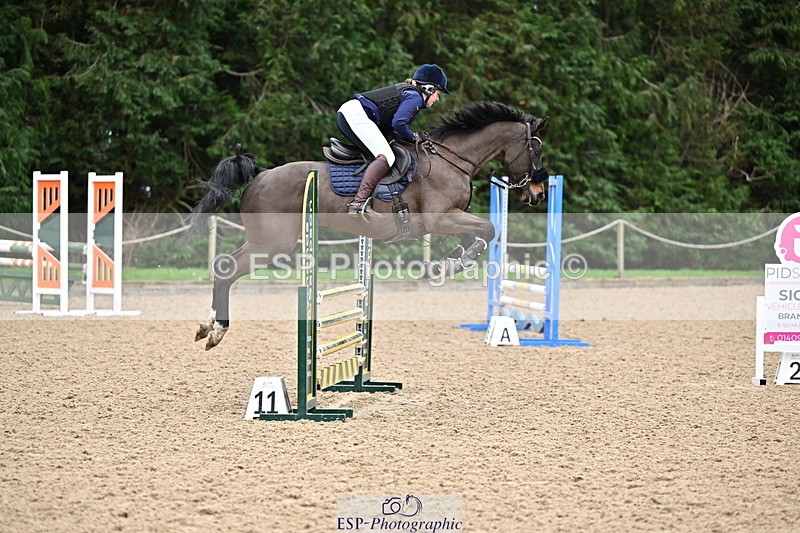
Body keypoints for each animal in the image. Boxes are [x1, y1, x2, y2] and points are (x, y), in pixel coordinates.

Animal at [189, 101, 550, 349]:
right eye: (536, 149)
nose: (538, 193)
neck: (452, 160)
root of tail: (261, 174)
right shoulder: (439, 217)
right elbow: (488, 230)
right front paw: (452, 264)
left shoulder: (448, 219)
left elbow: (477, 233)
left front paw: (448, 263)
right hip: (272, 244)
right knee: (227, 268)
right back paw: (217, 330)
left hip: (265, 242)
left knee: (223, 267)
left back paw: (208, 327)